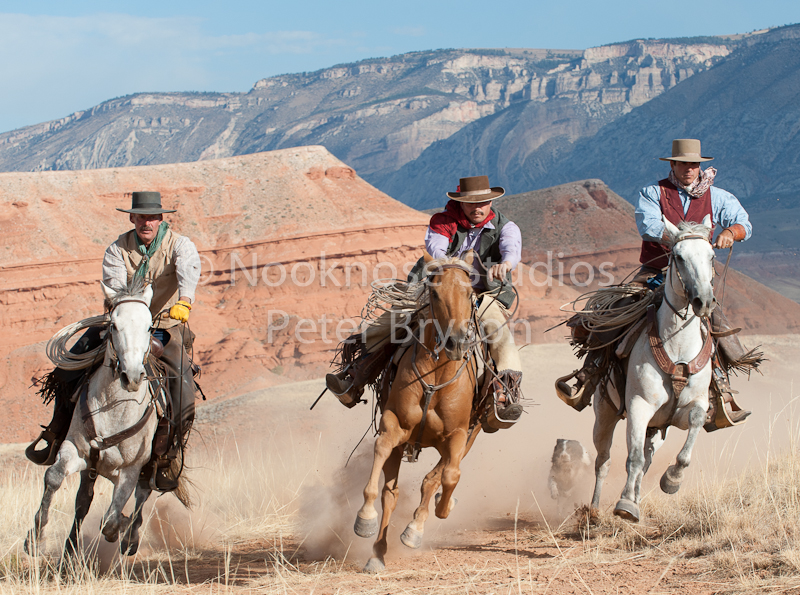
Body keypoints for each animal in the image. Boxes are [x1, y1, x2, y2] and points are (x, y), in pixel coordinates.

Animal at [356, 254, 488, 576]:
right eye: (435, 294)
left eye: (470, 293)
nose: (456, 342)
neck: (437, 374)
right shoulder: (394, 425)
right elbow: (381, 451)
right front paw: (365, 517)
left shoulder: (458, 435)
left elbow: (450, 476)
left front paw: (435, 514)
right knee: (390, 494)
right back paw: (377, 553)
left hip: (468, 437)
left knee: (434, 478)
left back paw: (419, 524)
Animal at [592, 217, 716, 524]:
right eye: (679, 256)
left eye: (711, 256)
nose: (704, 301)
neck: (678, 347)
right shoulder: (639, 406)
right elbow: (633, 458)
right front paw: (624, 504)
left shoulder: (690, 409)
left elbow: (692, 431)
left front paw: (672, 480)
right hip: (606, 414)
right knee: (604, 460)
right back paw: (594, 510)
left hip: (658, 429)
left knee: (647, 458)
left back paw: (636, 497)